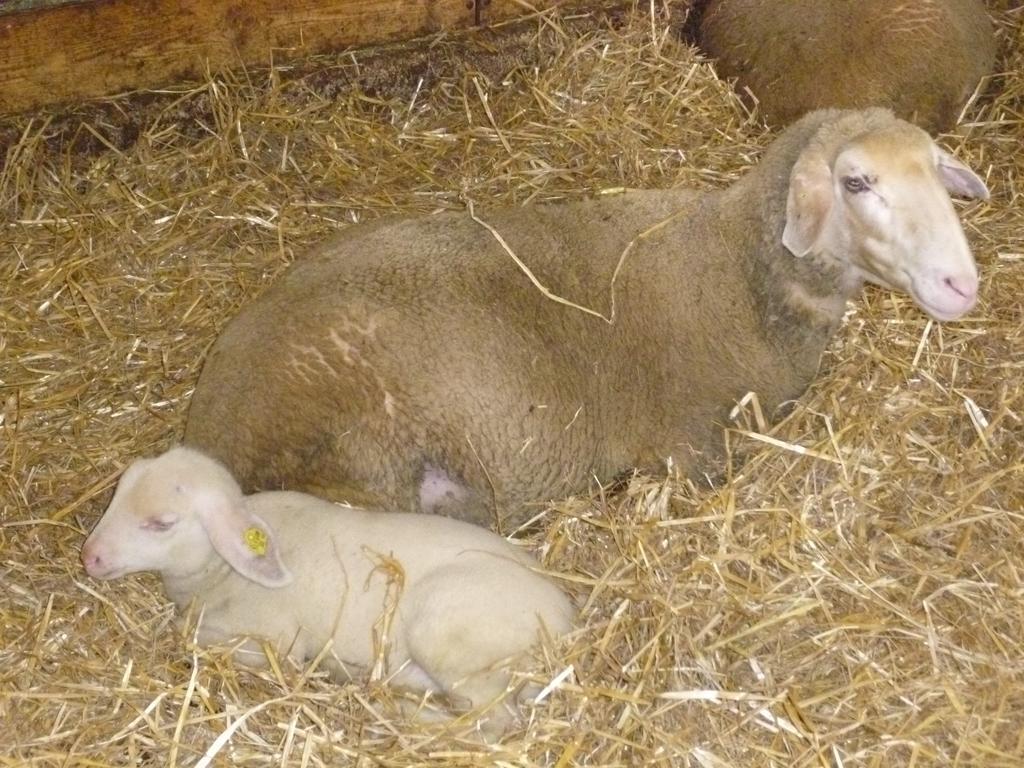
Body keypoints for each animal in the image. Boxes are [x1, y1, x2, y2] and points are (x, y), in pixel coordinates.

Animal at [79, 448, 577, 737]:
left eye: (162, 523)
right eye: (118, 492)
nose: (90, 557)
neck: (218, 569)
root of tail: (567, 625)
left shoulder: (275, 639)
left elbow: (185, 630)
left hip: (451, 637)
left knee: (493, 722)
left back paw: (401, 717)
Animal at [186, 108, 991, 528]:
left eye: (936, 169)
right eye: (856, 182)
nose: (961, 283)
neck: (734, 267)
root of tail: (209, 422)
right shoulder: (690, 446)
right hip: (359, 458)